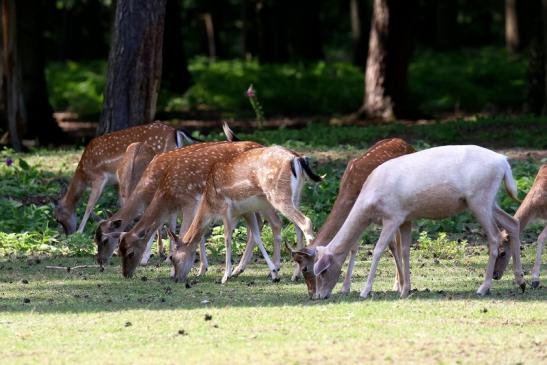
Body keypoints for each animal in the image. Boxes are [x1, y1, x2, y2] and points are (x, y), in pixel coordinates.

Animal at [53, 121, 198, 235]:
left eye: (58, 219)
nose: (68, 233)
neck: (83, 172)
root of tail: (175, 131)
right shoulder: (116, 182)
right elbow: (120, 201)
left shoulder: (99, 177)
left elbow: (89, 205)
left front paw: (80, 231)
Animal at [171, 145, 324, 284]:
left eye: (172, 257)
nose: (176, 278)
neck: (209, 203)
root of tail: (297, 158)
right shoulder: (245, 211)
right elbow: (256, 236)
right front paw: (273, 273)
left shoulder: (226, 209)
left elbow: (227, 238)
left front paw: (225, 276)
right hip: (296, 196)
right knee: (296, 226)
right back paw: (295, 275)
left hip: (278, 196)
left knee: (305, 222)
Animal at [286, 138, 416, 298]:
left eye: (305, 267)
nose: (312, 294)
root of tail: (406, 143)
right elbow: (353, 246)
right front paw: (345, 287)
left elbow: (391, 245)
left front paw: (401, 285)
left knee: (397, 241)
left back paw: (397, 283)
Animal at [312, 144, 528, 298]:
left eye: (322, 271)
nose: (319, 296)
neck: (369, 201)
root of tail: (504, 162)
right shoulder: (406, 218)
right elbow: (405, 250)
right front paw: (405, 290)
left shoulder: (393, 215)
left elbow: (378, 250)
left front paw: (365, 291)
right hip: (489, 201)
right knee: (512, 223)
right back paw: (521, 282)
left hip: (479, 199)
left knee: (495, 237)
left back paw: (484, 287)